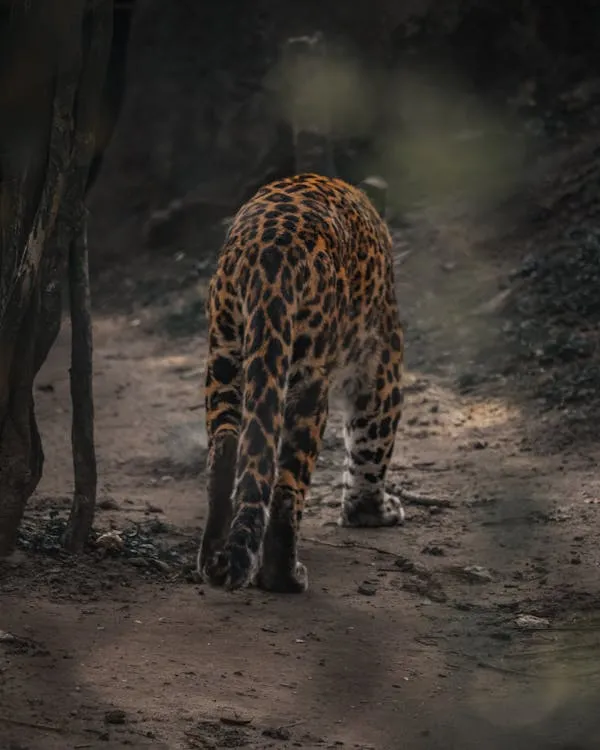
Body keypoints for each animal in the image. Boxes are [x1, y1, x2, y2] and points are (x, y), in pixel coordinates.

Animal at [197, 172, 405, 594]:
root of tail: (270, 250)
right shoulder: (381, 365)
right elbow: (371, 447)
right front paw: (370, 513)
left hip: (225, 355)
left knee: (226, 447)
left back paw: (212, 560)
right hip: (307, 380)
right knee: (287, 482)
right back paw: (285, 576)